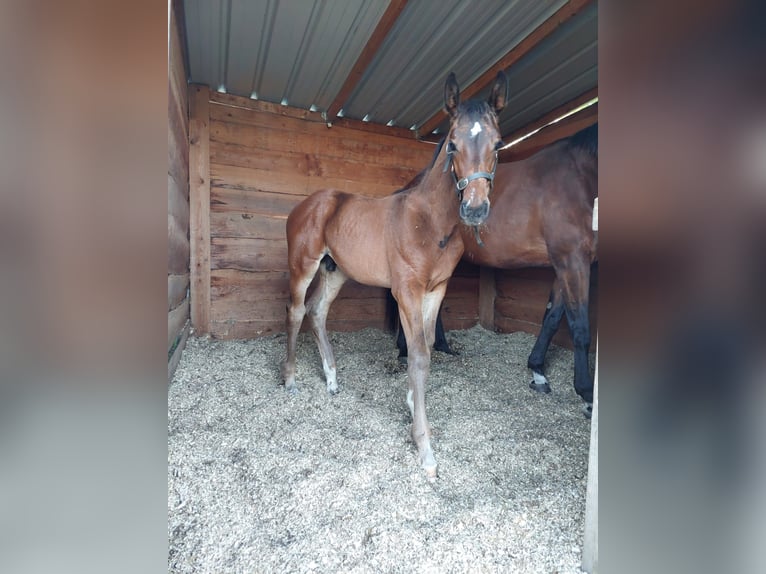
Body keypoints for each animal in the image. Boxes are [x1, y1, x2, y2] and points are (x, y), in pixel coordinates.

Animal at [282, 72, 510, 480]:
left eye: (497, 144)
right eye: (453, 145)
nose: (475, 209)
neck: (430, 222)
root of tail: (305, 206)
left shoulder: (436, 290)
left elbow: (429, 348)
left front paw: (411, 403)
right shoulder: (406, 290)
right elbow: (417, 354)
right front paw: (424, 446)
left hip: (335, 271)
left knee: (317, 311)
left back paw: (332, 379)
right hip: (303, 265)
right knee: (295, 311)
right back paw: (291, 379)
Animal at [396, 124, 600, 416]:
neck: (581, 176)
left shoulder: (565, 264)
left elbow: (552, 317)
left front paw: (538, 371)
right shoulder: (573, 260)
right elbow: (580, 327)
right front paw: (586, 393)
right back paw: (405, 352)